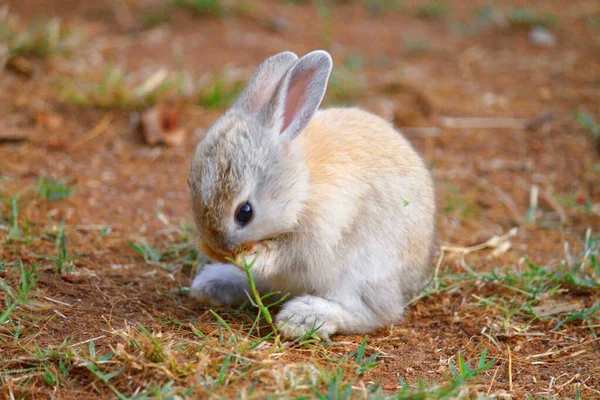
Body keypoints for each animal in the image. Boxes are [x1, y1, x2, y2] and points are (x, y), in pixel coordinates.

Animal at [189, 48, 436, 340]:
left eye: (244, 213)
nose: (216, 250)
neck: (300, 187)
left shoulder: (318, 234)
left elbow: (287, 255)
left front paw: (251, 258)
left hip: (364, 272)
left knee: (376, 314)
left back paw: (302, 318)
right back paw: (212, 284)